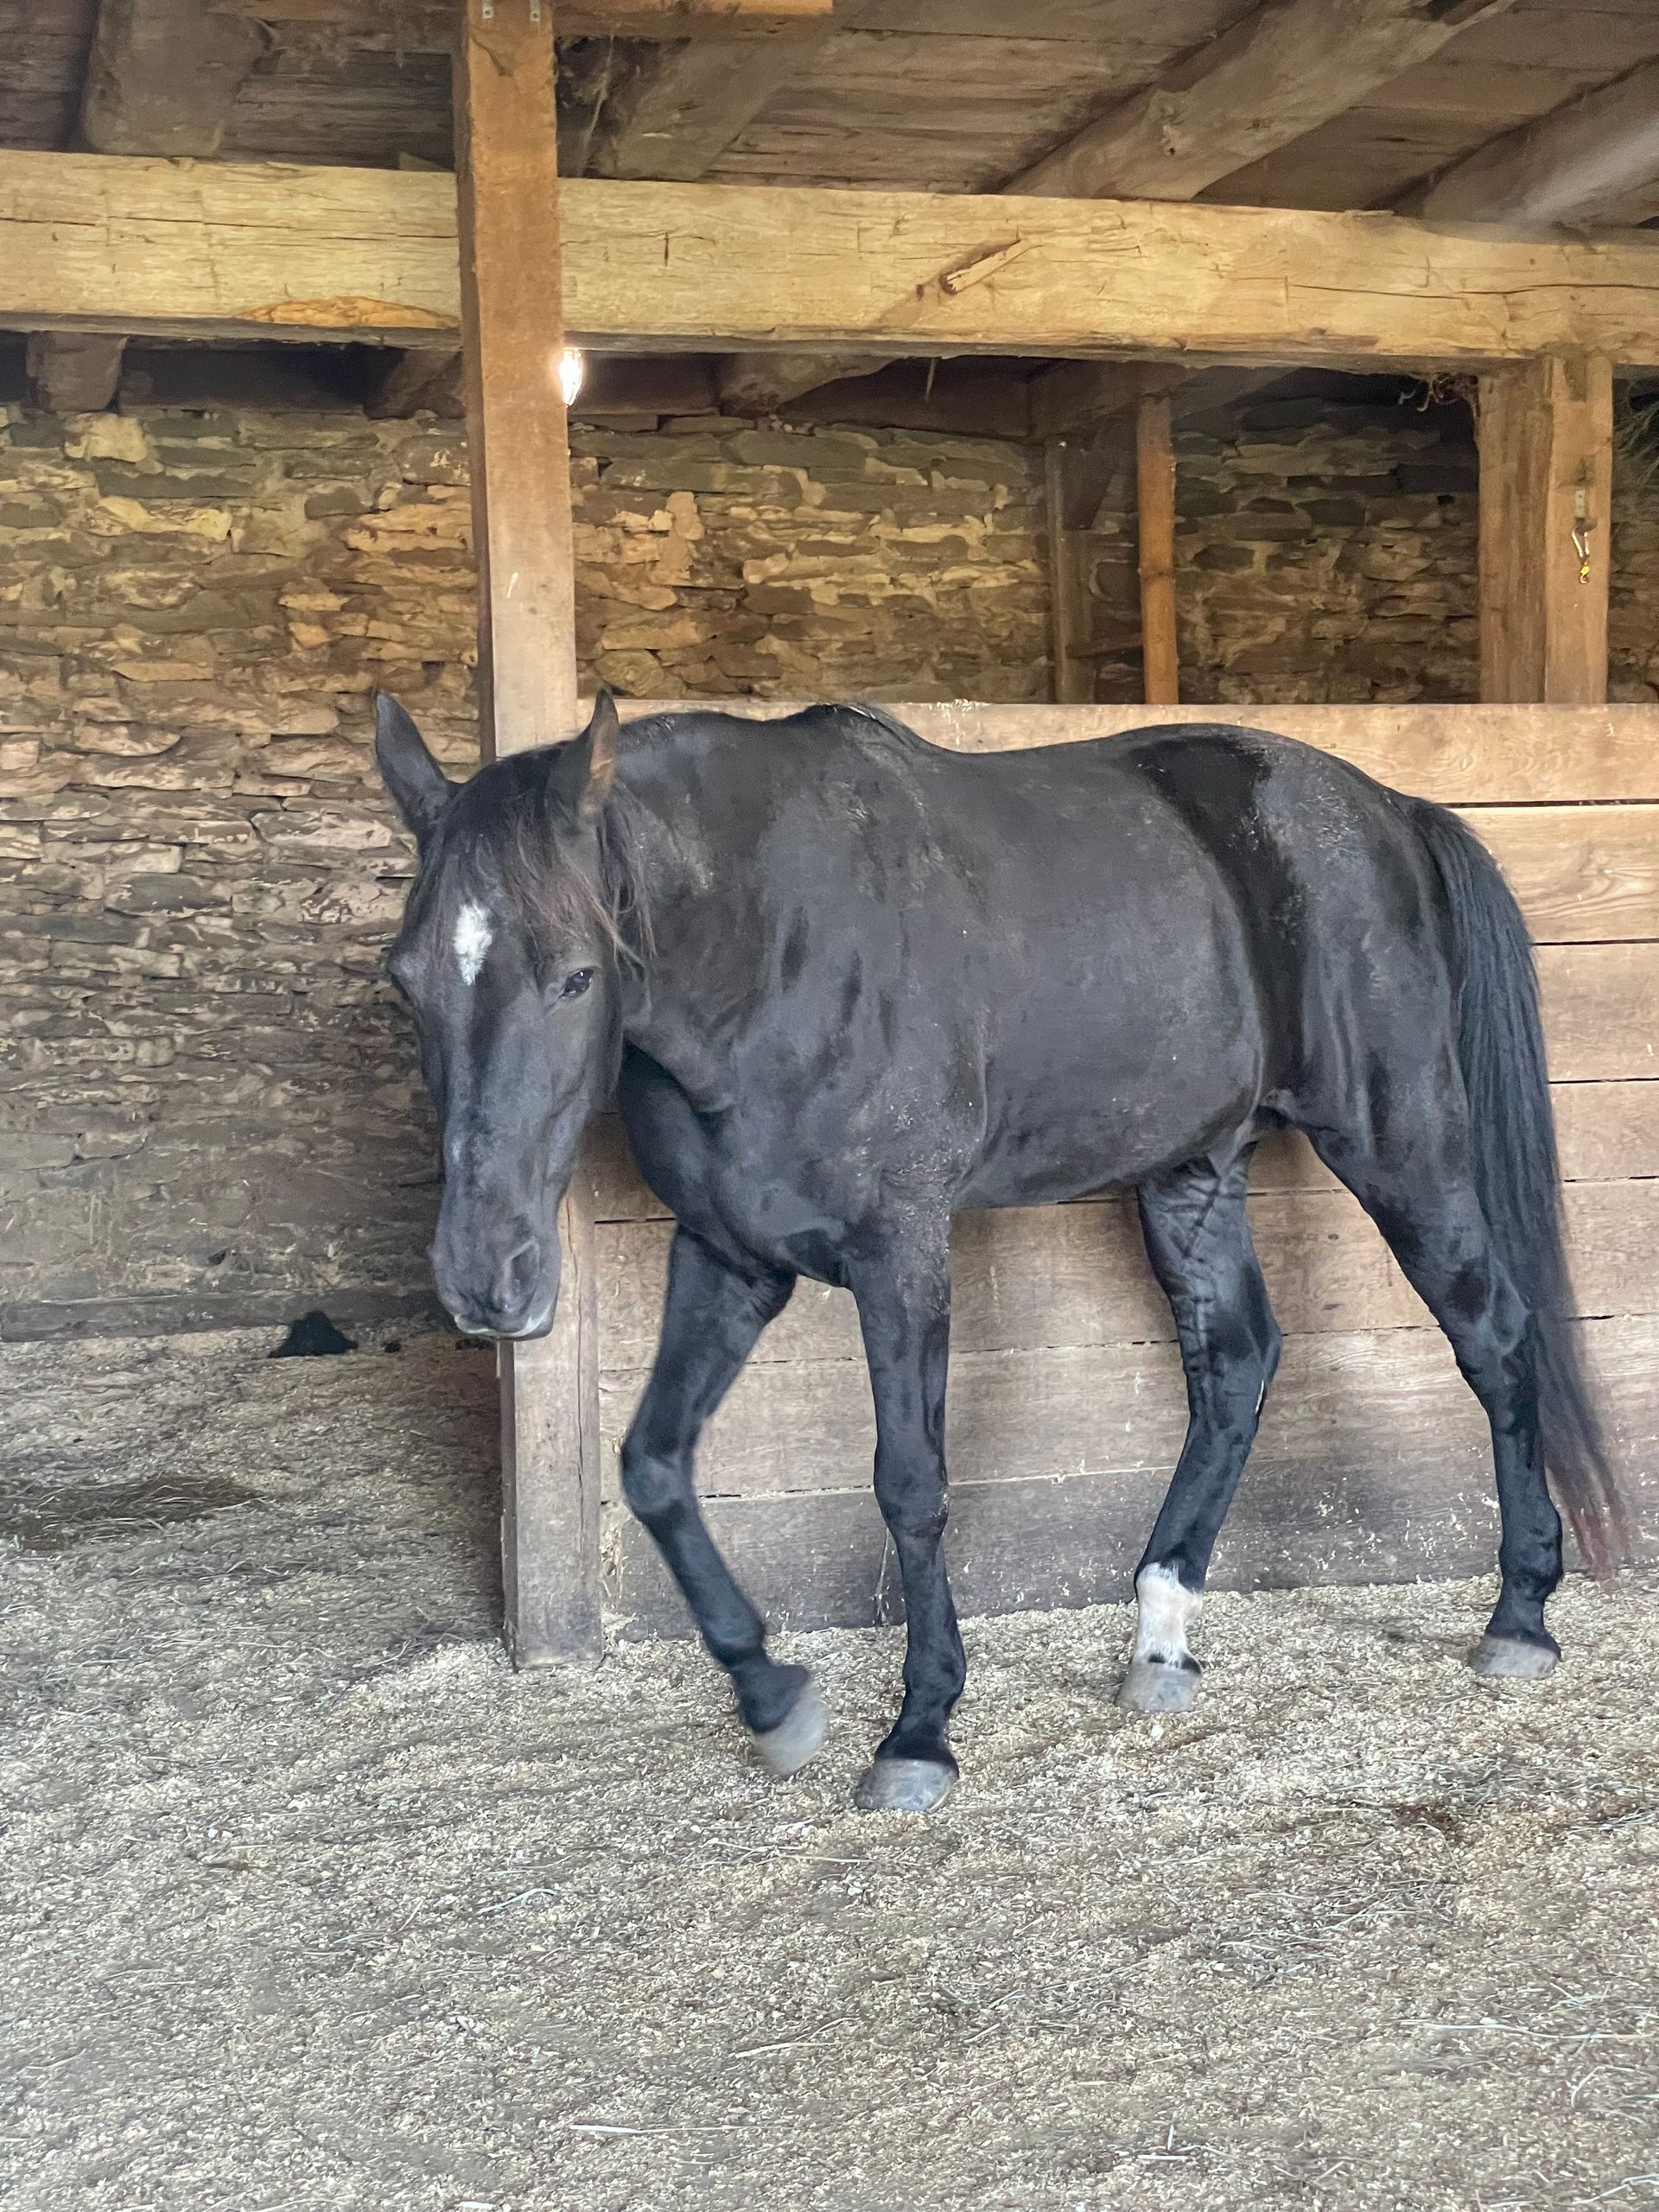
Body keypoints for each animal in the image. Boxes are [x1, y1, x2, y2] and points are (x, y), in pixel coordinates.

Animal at [374, 688, 1625, 1813]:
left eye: (575, 973)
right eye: (407, 976)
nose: (485, 1278)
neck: (769, 947)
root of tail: (1393, 813)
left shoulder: (900, 1255)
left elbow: (912, 1484)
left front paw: (920, 1730)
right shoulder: (731, 1258)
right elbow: (653, 1467)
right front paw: (774, 1699)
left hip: (1398, 1144)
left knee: (1493, 1335)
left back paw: (1520, 1616)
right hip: (1192, 1170)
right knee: (1235, 1362)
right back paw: (1160, 1631)